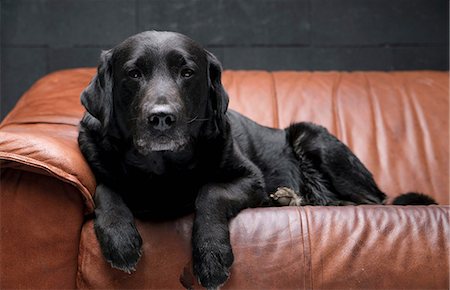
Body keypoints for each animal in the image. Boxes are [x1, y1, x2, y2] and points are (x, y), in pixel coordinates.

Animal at [78, 30, 436, 288]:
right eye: (133, 73)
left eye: (187, 72)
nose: (162, 118)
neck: (163, 167)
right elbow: (104, 188)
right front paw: (120, 239)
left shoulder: (250, 178)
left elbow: (209, 193)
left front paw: (212, 258)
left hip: (310, 135)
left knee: (368, 202)